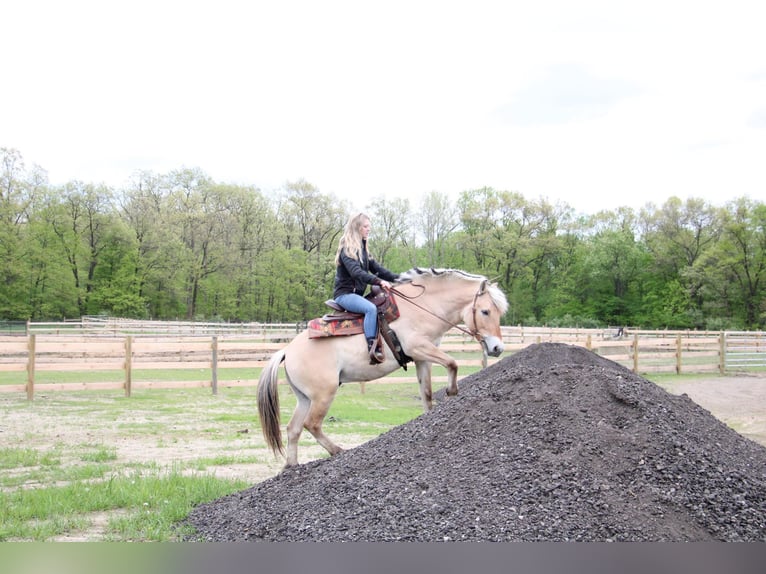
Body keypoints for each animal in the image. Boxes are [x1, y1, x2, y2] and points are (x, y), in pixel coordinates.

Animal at [258, 268, 510, 470]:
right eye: (485, 311)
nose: (497, 347)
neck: (423, 307)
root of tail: (287, 350)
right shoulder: (419, 347)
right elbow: (452, 363)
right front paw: (451, 391)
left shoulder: (422, 359)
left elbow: (427, 395)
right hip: (324, 394)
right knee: (312, 424)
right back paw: (337, 450)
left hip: (305, 398)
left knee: (293, 429)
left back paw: (292, 466)